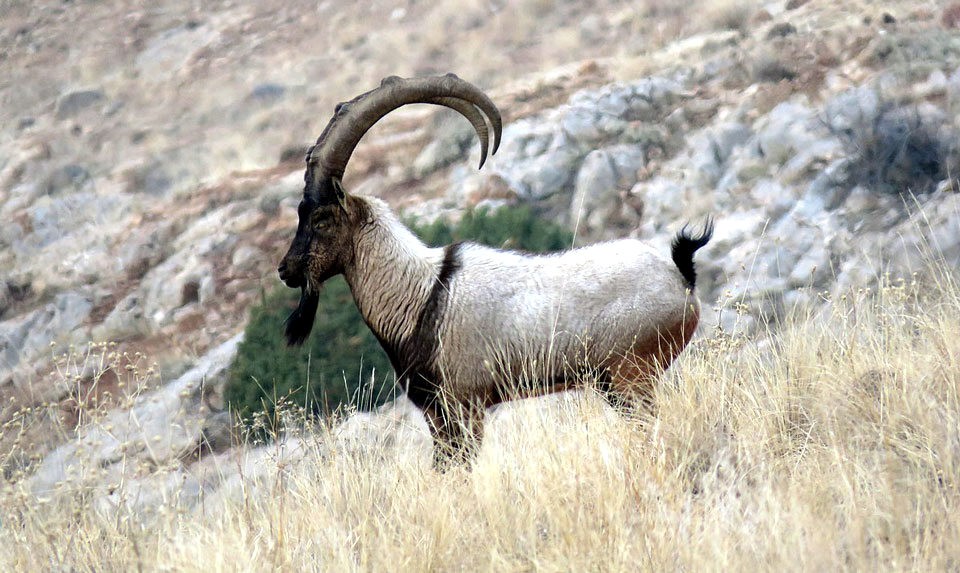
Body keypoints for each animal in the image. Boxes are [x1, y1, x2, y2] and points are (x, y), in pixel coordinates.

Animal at [277, 74, 713, 466]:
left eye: (320, 218)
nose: (286, 270)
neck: (420, 295)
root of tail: (680, 276)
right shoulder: (440, 414)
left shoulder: (462, 407)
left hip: (631, 375)